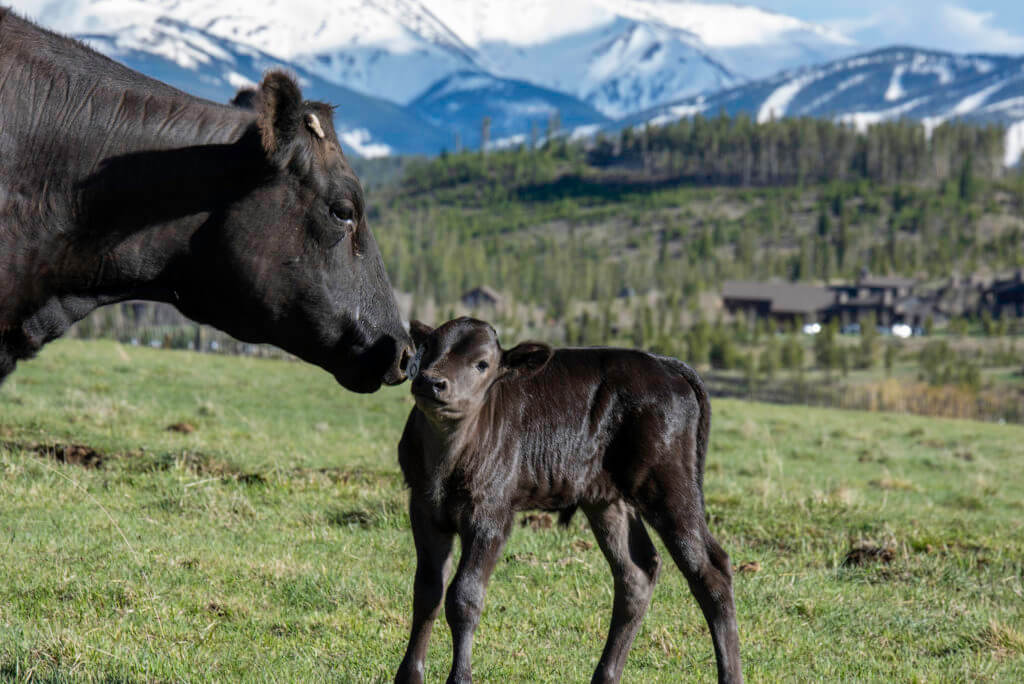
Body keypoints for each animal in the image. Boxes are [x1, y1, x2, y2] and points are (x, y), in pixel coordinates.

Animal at [395, 319, 741, 684]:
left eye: (482, 364)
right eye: (428, 349)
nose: (431, 381)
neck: (447, 460)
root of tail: (664, 364)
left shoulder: (492, 516)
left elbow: (464, 597)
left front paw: (460, 677)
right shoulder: (424, 508)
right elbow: (427, 592)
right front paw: (408, 676)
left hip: (669, 483)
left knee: (711, 569)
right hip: (607, 501)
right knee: (636, 571)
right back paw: (605, 675)